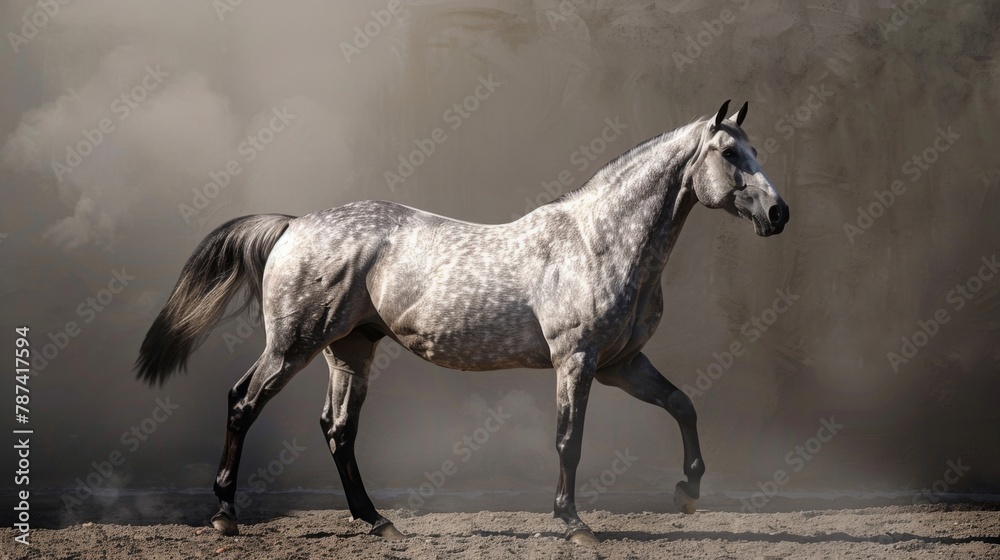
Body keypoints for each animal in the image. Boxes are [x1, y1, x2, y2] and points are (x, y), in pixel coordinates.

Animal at [135, 99, 788, 544]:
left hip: (350, 349)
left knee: (338, 430)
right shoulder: (576, 362)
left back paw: (377, 520)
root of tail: (295, 224)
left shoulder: (621, 364)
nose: (778, 213)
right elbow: (569, 440)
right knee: (244, 403)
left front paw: (688, 493)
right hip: (293, 345)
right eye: (730, 153)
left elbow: (683, 406)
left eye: (755, 150)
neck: (596, 242)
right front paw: (572, 523)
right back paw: (225, 515)